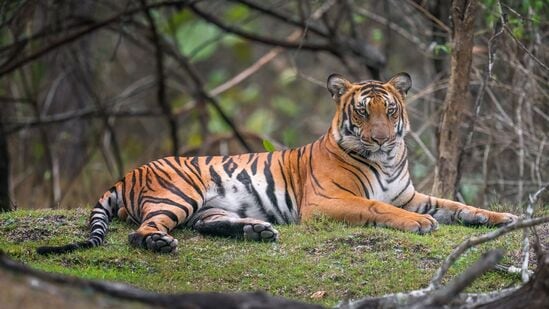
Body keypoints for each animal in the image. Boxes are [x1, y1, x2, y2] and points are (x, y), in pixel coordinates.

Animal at [36, 71, 516, 253]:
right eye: (363, 112)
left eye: (390, 110)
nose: (381, 138)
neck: (385, 162)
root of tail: (128, 172)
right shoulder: (327, 203)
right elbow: (376, 207)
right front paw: (419, 225)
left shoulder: (410, 194)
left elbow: (457, 205)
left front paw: (504, 217)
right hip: (179, 194)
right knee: (143, 231)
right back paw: (160, 243)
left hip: (207, 207)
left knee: (206, 225)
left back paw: (256, 229)